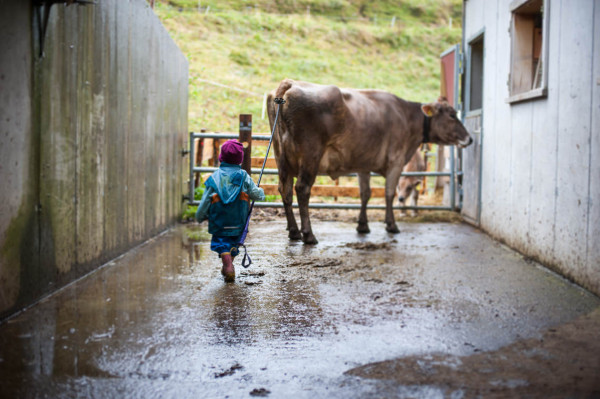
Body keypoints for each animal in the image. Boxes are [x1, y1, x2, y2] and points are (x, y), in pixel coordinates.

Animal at [268, 79, 474, 244]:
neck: (407, 117)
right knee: (302, 189)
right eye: (452, 115)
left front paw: (363, 225)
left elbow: (365, 194)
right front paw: (391, 225)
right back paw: (308, 235)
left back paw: (294, 232)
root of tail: (290, 83)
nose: (470, 139)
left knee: (285, 190)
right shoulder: (396, 161)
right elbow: (390, 193)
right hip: (310, 155)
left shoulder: (363, 164)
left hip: (281, 158)